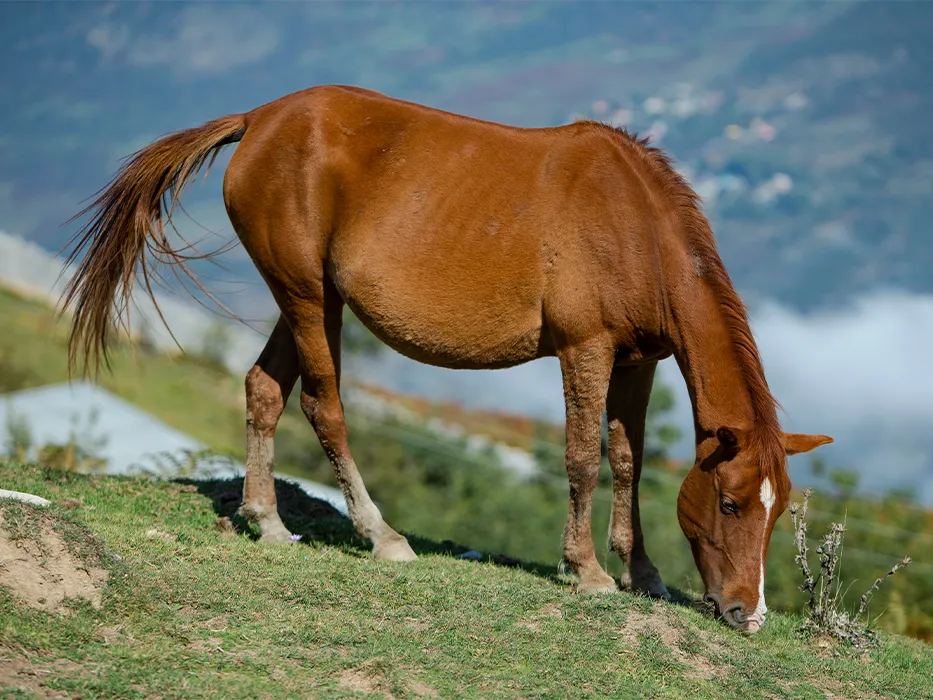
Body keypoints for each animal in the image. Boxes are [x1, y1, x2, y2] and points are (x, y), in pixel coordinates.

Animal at [60, 83, 832, 636]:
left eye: (778, 510)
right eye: (730, 502)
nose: (748, 614)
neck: (634, 222)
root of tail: (259, 119)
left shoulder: (637, 361)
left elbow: (627, 460)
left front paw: (642, 572)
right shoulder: (585, 349)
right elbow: (582, 458)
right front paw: (586, 570)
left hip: (307, 297)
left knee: (263, 389)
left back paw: (269, 521)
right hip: (309, 298)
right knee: (322, 403)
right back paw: (381, 535)